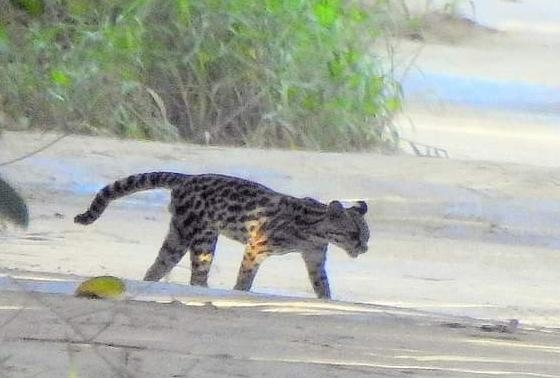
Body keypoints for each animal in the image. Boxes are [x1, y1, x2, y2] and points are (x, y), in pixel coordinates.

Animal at [75, 171, 372, 298]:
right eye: (354, 234)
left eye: (367, 235)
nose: (365, 248)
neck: (315, 232)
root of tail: (187, 177)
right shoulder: (256, 246)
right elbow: (246, 275)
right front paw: (240, 292)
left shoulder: (315, 259)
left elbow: (322, 284)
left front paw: (327, 299)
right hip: (202, 237)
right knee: (196, 273)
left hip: (179, 234)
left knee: (159, 264)